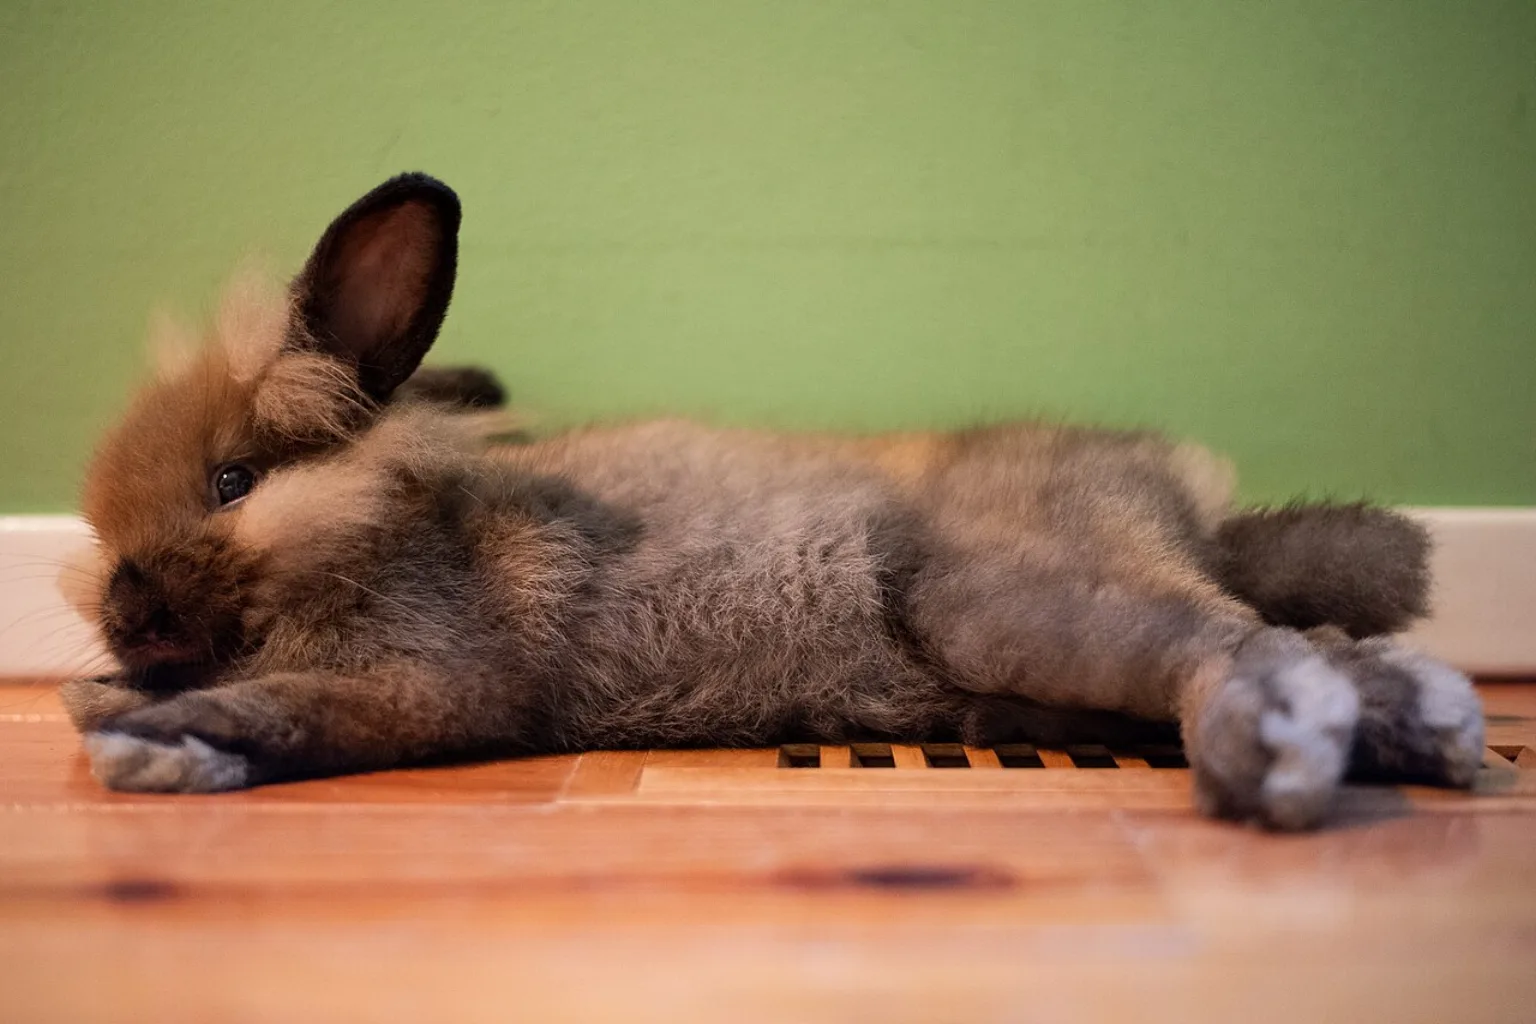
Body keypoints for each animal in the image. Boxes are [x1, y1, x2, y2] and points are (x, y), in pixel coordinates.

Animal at [60, 172, 1484, 830]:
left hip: (1011, 600)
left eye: (233, 481)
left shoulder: (432, 684)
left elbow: (297, 709)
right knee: (1318, 643)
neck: (387, 525)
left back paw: (1284, 744)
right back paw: (1425, 734)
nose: (126, 615)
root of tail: (1182, 501)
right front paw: (115, 708)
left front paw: (152, 736)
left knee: (1249, 648)